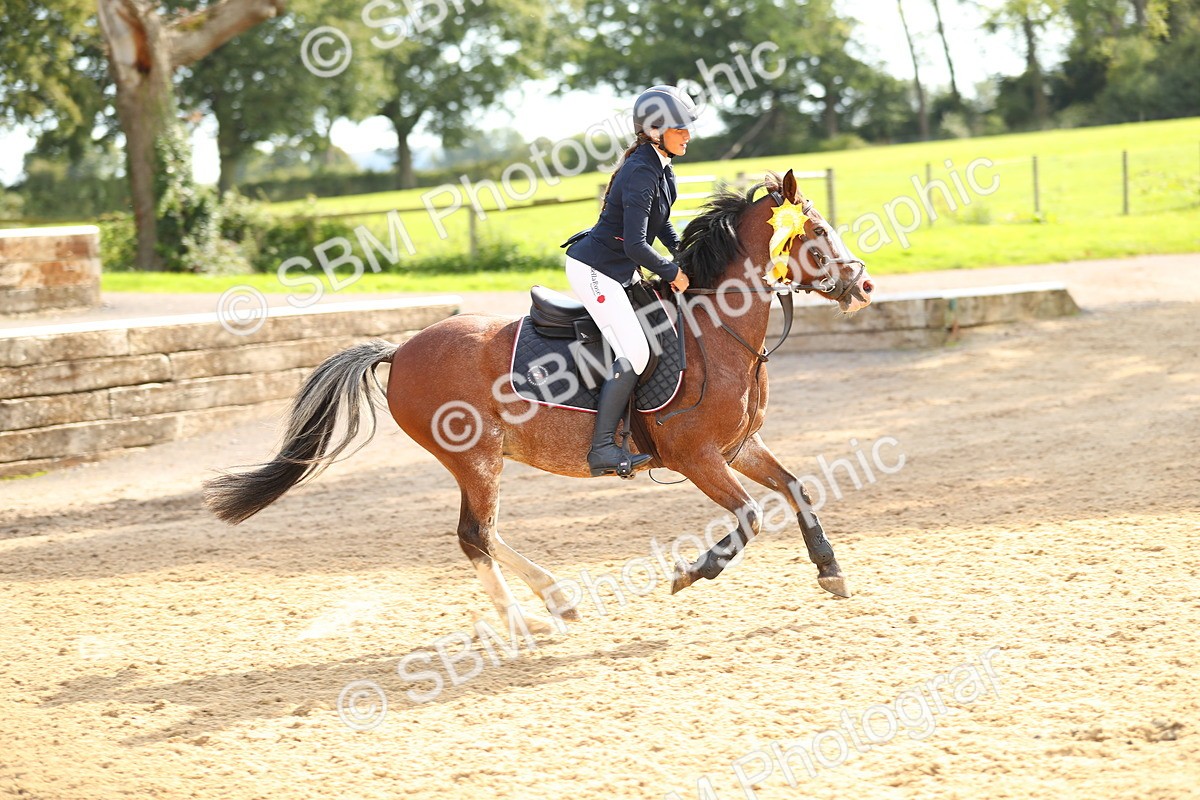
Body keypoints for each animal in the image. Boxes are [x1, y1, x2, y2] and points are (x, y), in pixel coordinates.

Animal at [203, 169, 874, 633]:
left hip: (482, 460)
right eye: (816, 233)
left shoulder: (740, 446)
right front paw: (689, 574)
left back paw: (557, 600)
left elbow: (795, 488)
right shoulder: (697, 458)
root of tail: (401, 350)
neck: (719, 331)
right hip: (474, 457)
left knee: (486, 532)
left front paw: (831, 571)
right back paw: (524, 623)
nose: (865, 284)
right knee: (473, 534)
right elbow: (750, 517)